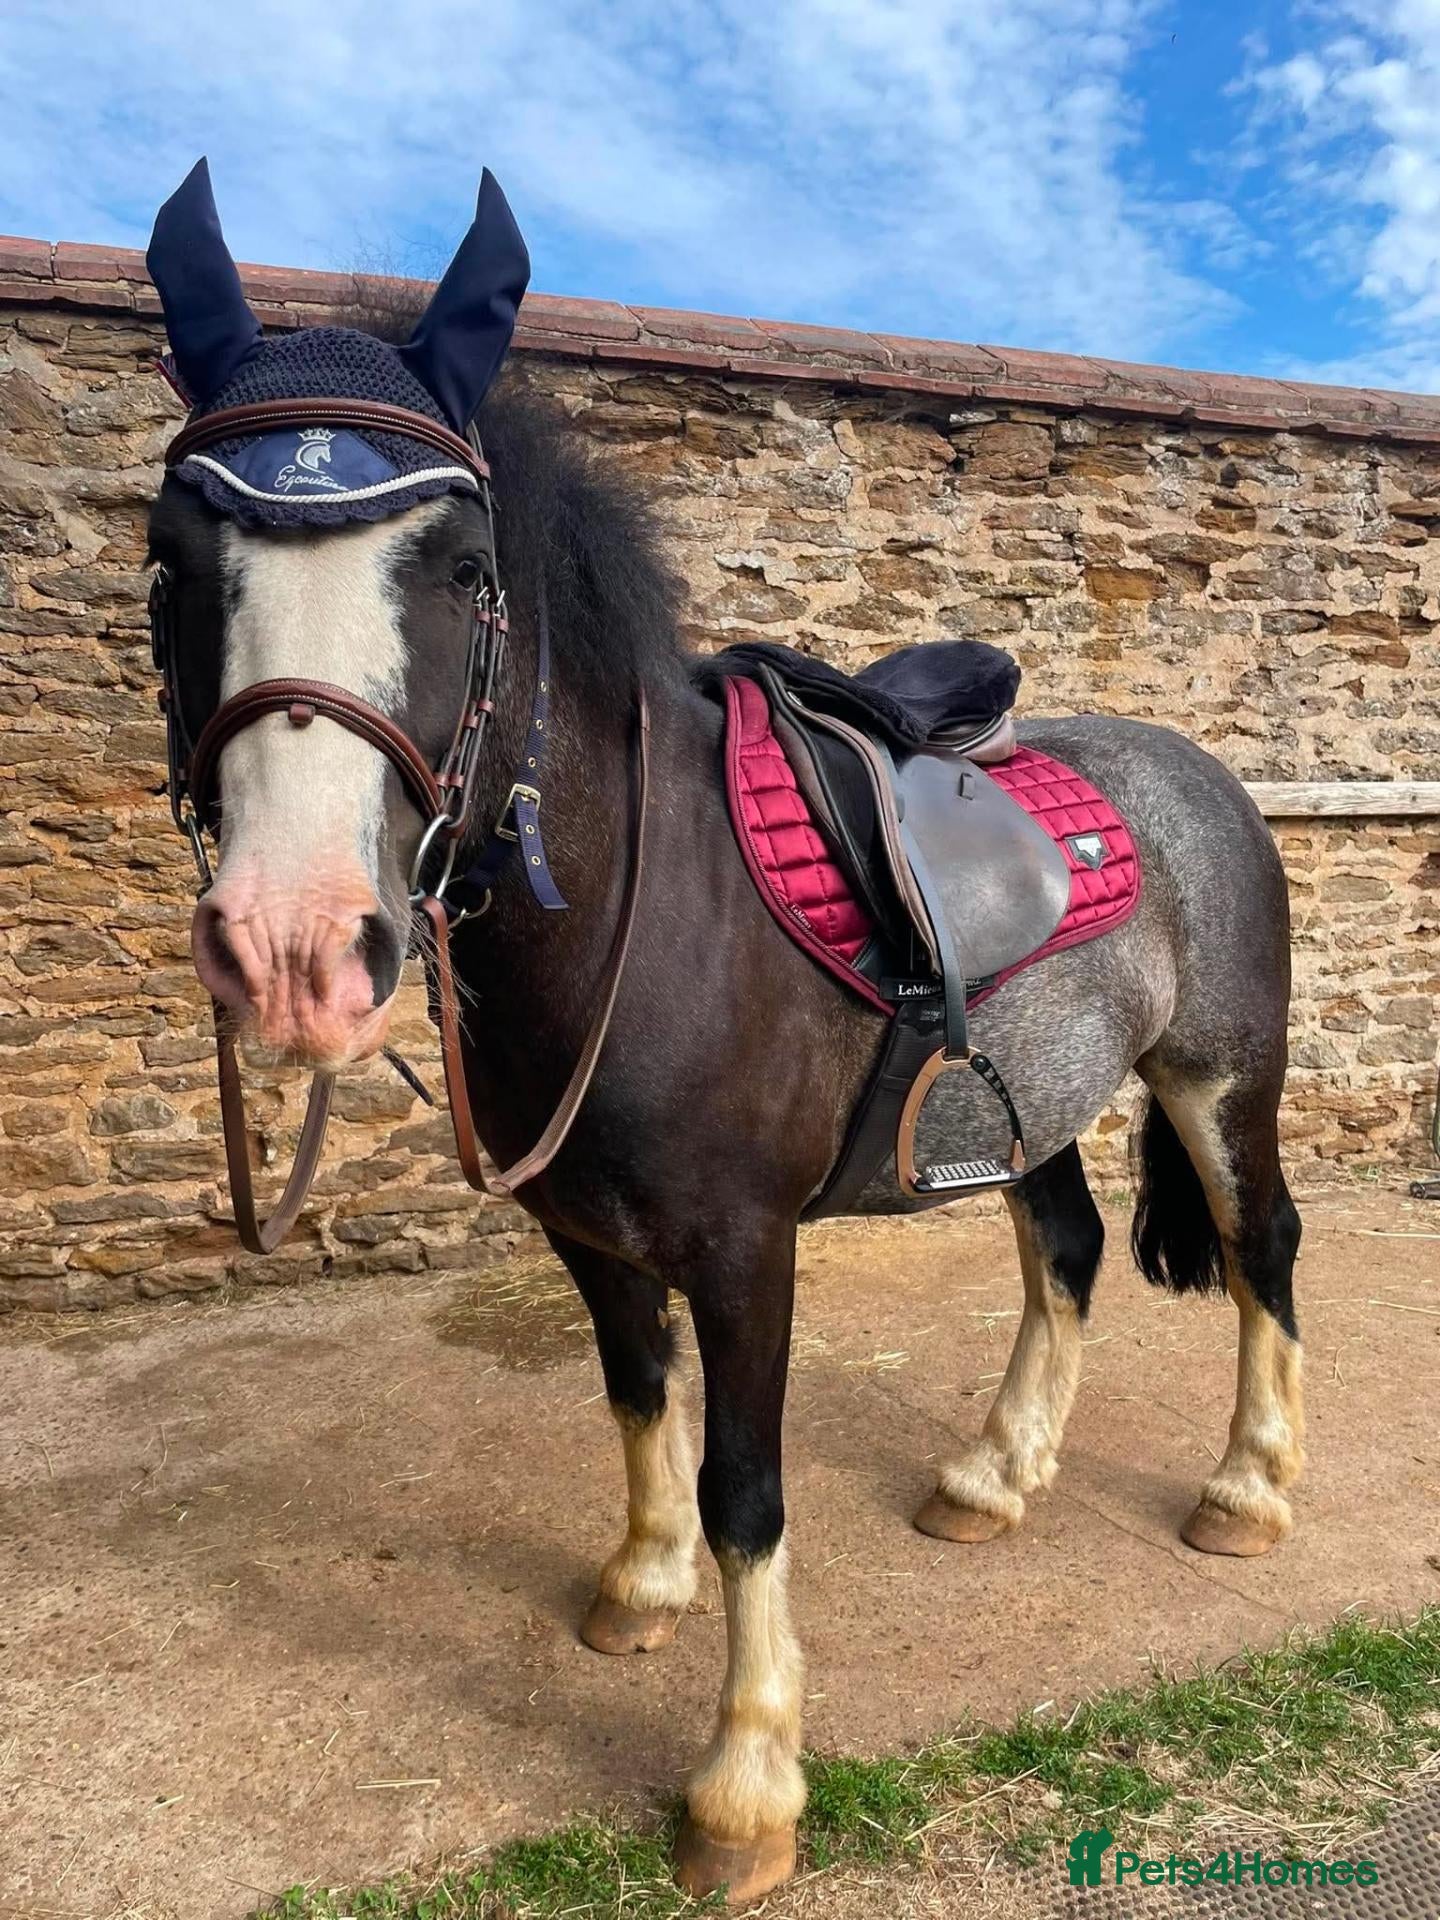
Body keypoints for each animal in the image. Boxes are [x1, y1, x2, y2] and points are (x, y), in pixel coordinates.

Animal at [140, 172, 1302, 1905]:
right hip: (1016, 1103)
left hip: (1221, 1081)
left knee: (1257, 1249)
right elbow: (638, 1400)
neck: (650, 907)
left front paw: (747, 1786)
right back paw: (994, 1472)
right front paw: (641, 1583)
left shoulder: (749, 1251)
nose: (295, 944)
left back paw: (1247, 1488)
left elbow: (747, 1488)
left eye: (465, 566)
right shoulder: (589, 1233)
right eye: (169, 556)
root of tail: (1198, 775)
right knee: (1071, 1251)